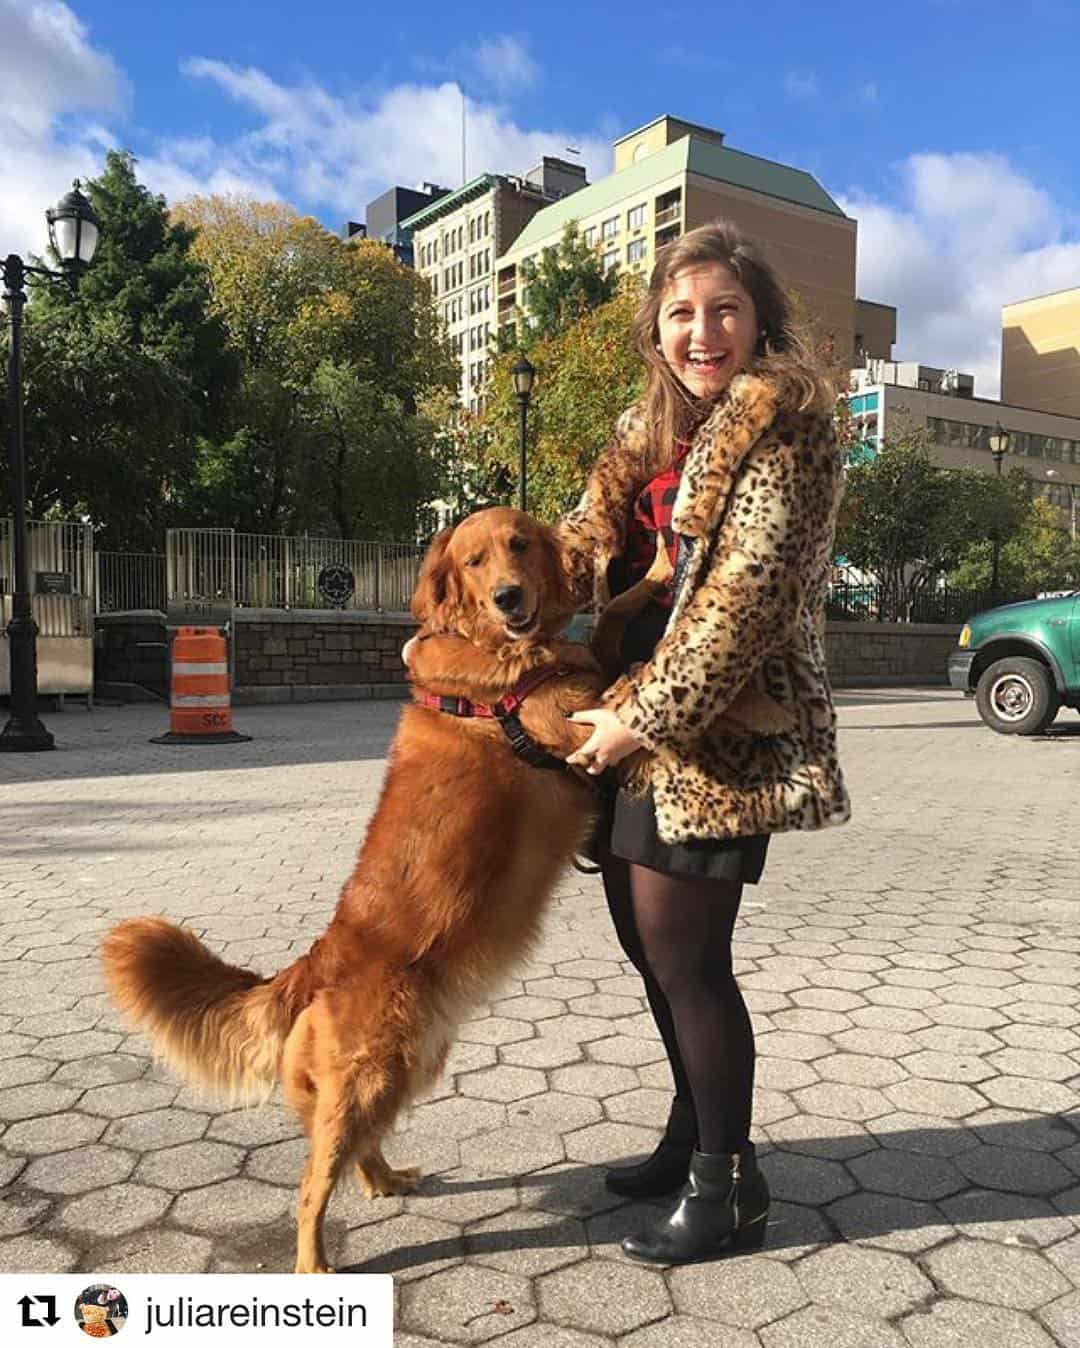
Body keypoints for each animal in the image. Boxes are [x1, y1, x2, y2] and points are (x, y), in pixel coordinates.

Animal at [105, 506, 787, 1272]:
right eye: (472, 562)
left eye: (519, 545)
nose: (510, 598)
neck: (503, 655)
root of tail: (314, 964)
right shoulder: (581, 727)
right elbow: (642, 680)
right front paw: (761, 705)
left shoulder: (589, 683)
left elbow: (615, 626)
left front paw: (657, 572)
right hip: (369, 1073)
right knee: (313, 1183)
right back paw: (314, 1261)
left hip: (409, 1063)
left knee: (358, 1148)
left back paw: (385, 1179)